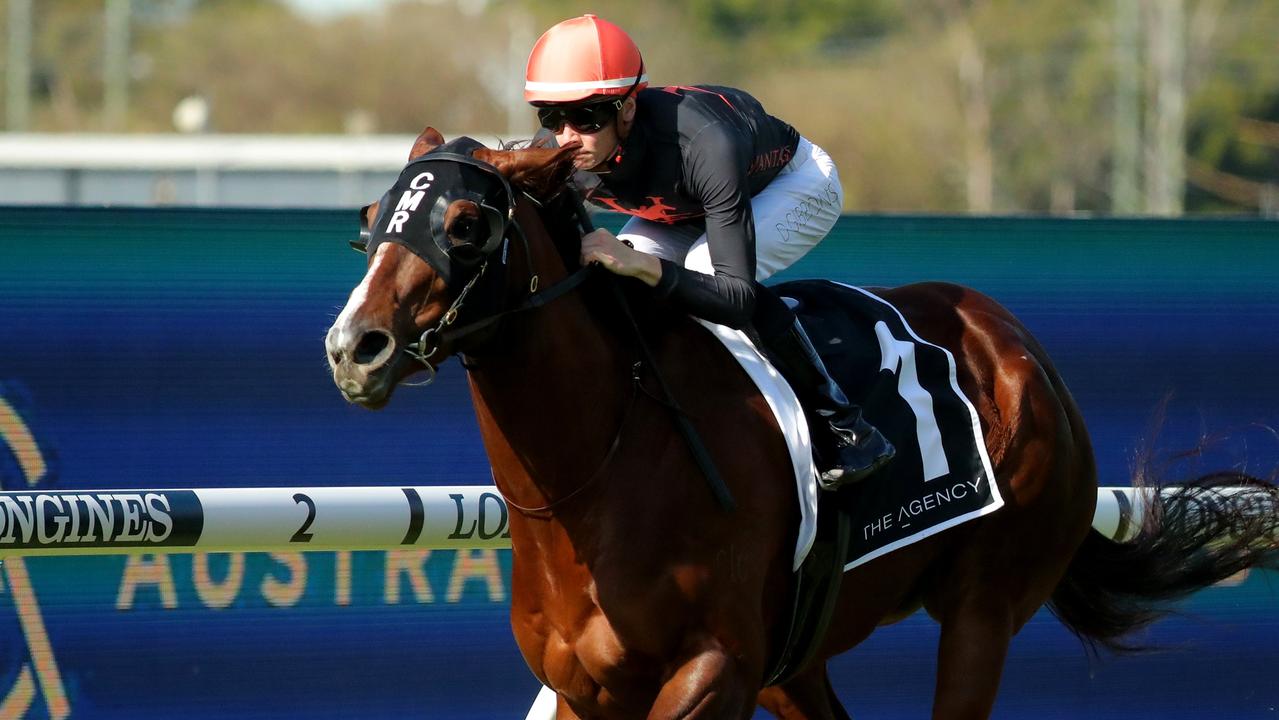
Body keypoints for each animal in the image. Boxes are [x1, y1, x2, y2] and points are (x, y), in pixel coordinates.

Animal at [327, 126, 1279, 716]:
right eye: (372, 222)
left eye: (465, 222)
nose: (354, 347)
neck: (598, 477)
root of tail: (1018, 347)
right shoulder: (585, 689)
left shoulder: (712, 670)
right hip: (799, 657)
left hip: (984, 610)